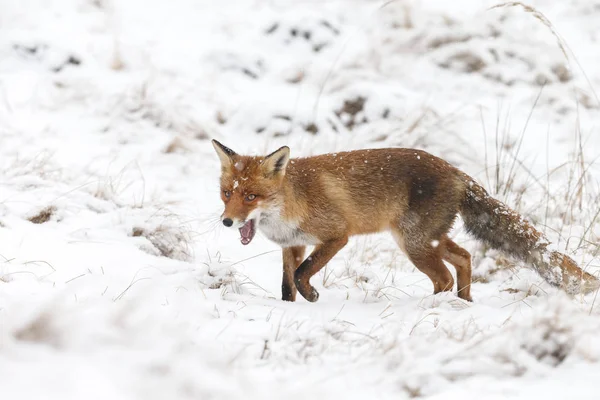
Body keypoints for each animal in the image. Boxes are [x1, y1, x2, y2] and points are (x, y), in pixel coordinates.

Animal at [211, 139, 596, 302]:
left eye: (251, 197)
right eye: (227, 193)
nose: (227, 223)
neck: (294, 200)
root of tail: (456, 172)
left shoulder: (336, 236)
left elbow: (304, 273)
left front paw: (312, 296)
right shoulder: (293, 244)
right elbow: (286, 283)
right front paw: (290, 309)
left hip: (413, 244)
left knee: (443, 276)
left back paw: (432, 307)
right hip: (427, 240)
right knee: (464, 258)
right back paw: (463, 303)